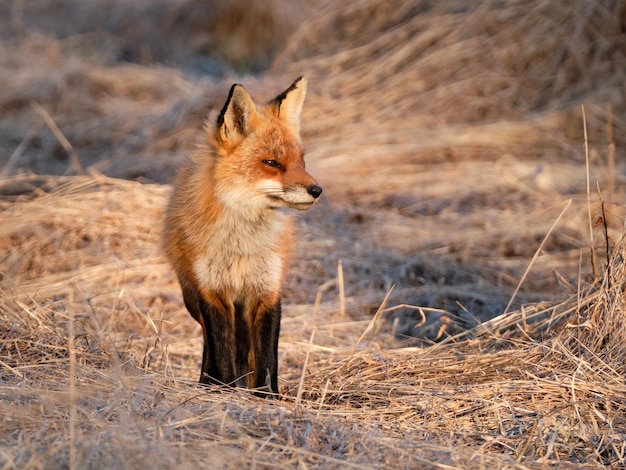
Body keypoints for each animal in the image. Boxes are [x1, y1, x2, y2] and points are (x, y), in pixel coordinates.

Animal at [163, 77, 322, 396]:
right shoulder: (212, 293)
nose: (317, 190)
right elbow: (222, 355)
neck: (241, 248)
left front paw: (267, 397)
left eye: (302, 161)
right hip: (193, 301)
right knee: (208, 347)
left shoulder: (267, 291)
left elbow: (266, 359)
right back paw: (207, 383)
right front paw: (224, 392)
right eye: (272, 163)